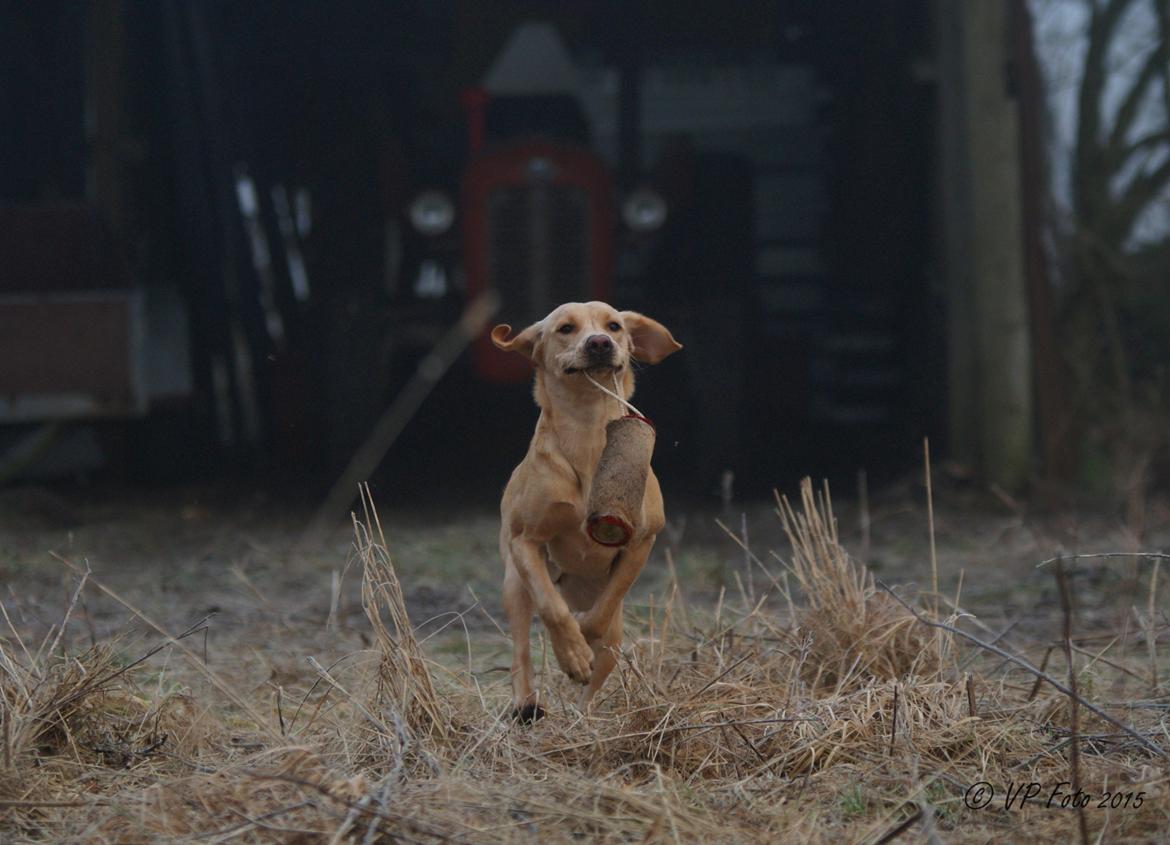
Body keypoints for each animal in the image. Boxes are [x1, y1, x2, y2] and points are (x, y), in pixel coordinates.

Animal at [491, 299, 678, 720]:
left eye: (614, 326)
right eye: (565, 328)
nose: (599, 343)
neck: (589, 435)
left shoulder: (641, 542)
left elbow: (600, 614)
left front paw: (579, 646)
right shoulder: (526, 542)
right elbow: (552, 609)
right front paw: (572, 653)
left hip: (615, 634)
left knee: (598, 671)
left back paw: (582, 716)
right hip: (513, 586)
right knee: (522, 650)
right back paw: (527, 704)